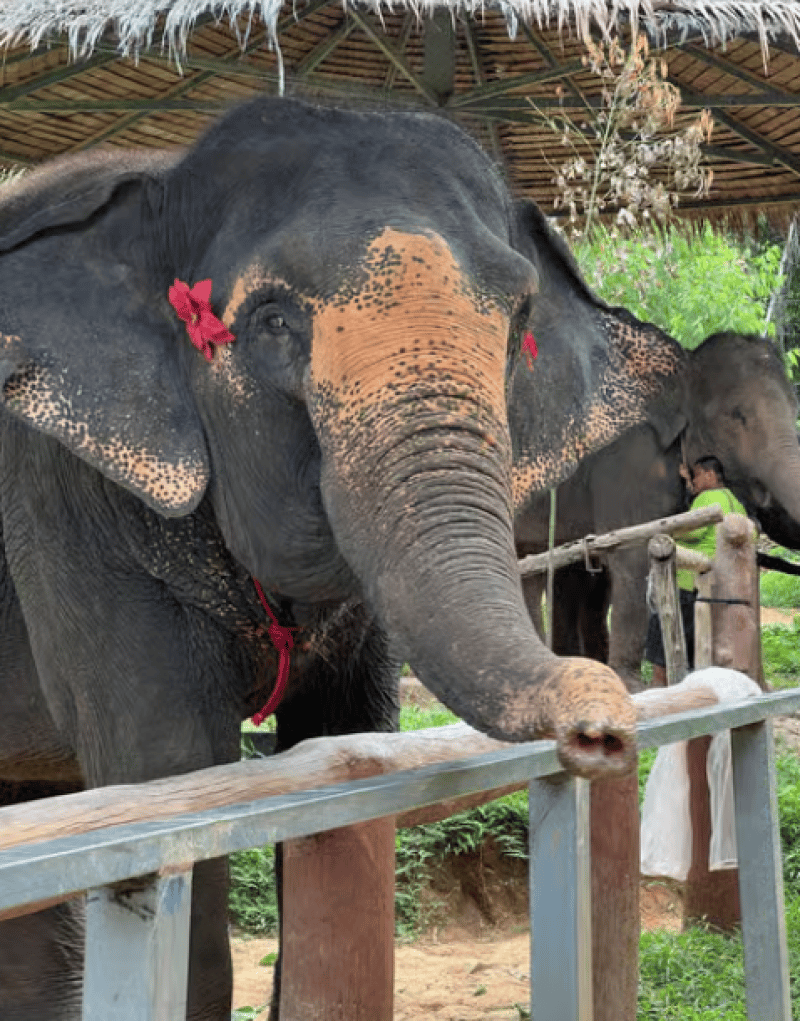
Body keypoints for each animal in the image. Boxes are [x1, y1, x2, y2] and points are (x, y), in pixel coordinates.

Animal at [0, 96, 688, 1020]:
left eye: (518, 318)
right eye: (272, 321)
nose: (602, 729)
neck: (159, 181)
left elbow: (347, 747)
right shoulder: (62, 498)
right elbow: (166, 771)